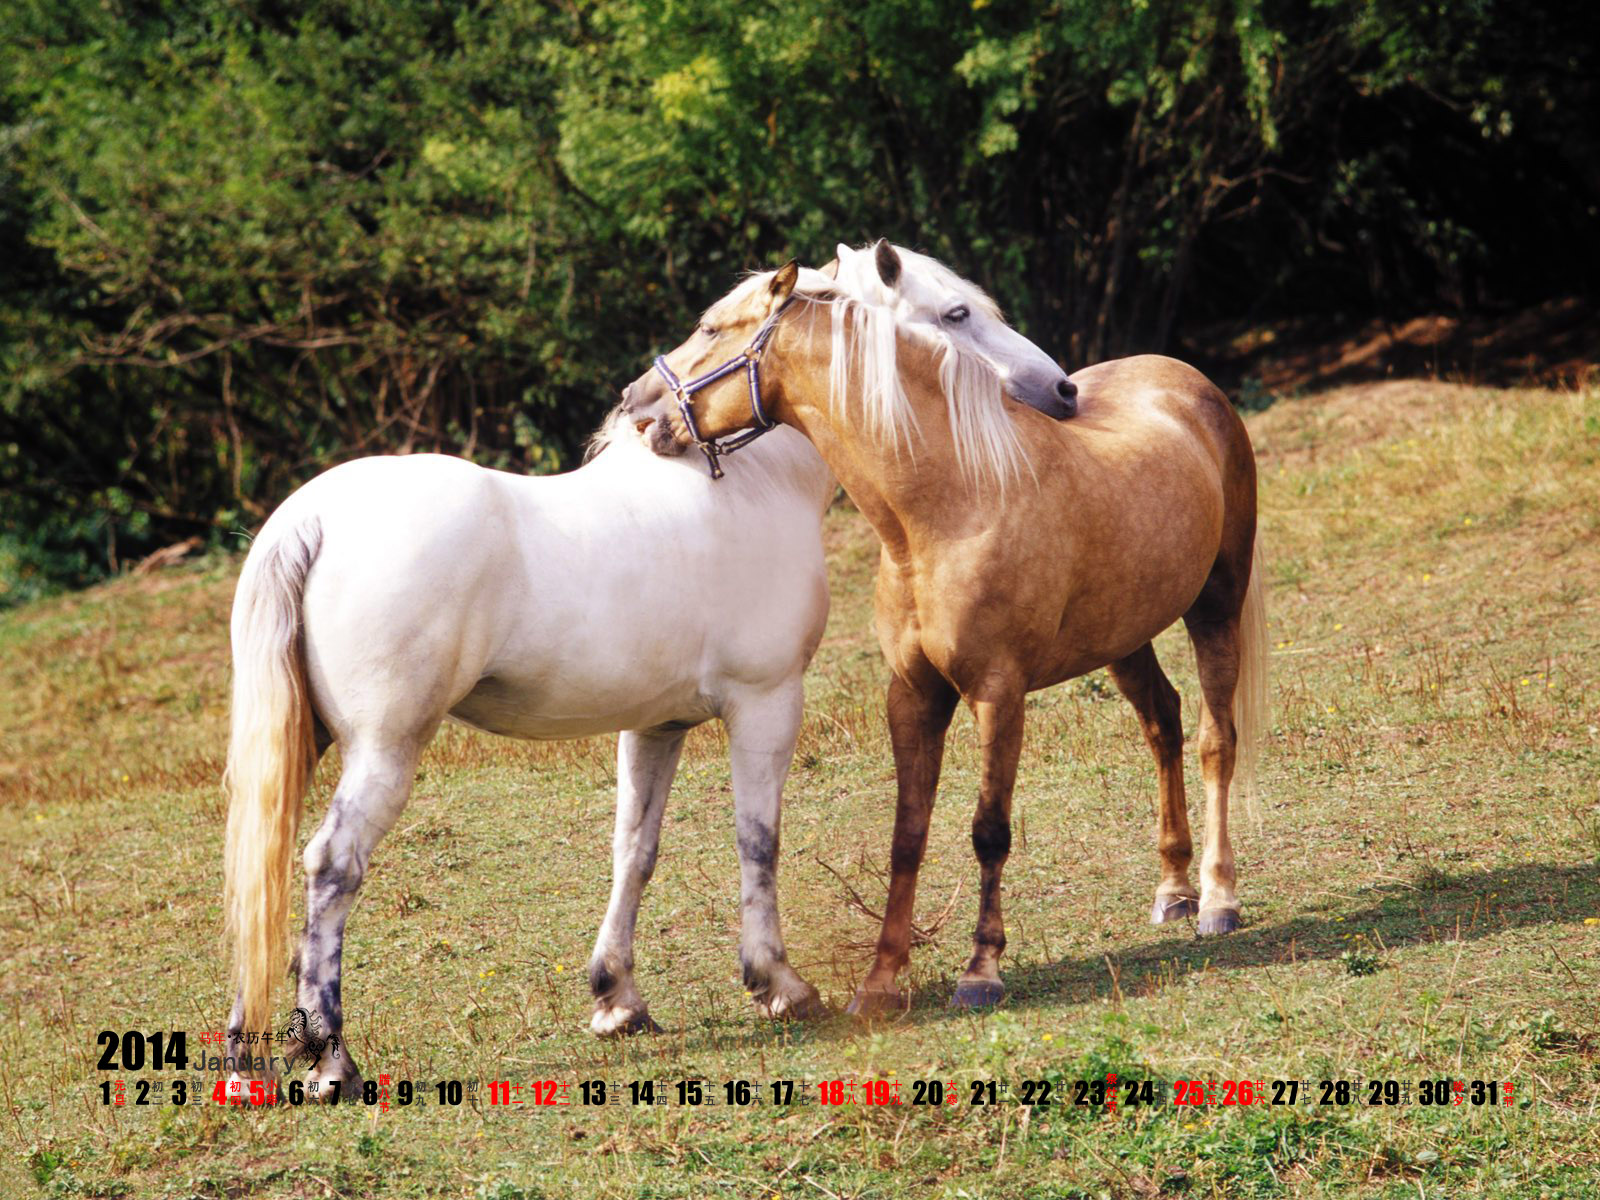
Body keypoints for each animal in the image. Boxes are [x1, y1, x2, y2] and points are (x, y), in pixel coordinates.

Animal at [620, 240, 1267, 1014]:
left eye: (713, 329)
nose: (636, 404)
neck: (949, 504)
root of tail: (1185, 379)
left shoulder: (997, 693)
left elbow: (989, 830)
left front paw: (981, 971)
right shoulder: (913, 695)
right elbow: (908, 834)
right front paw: (880, 981)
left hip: (1216, 606)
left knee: (1214, 741)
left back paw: (1217, 900)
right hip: (1123, 634)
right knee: (1162, 723)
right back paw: (1172, 890)